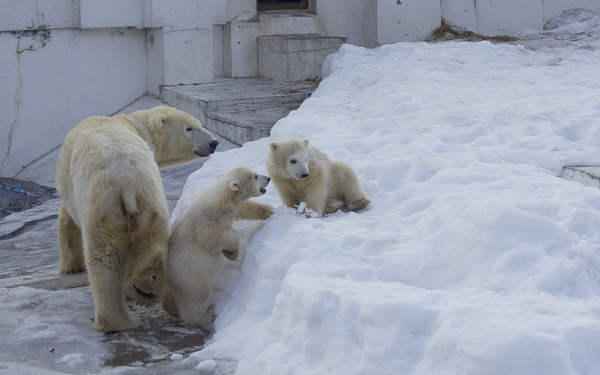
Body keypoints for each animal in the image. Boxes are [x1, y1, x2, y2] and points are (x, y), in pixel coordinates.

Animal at [56, 105, 218, 332]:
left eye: (198, 124)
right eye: (190, 127)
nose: (214, 142)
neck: (132, 125)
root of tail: (124, 177)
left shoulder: (71, 186)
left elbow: (67, 221)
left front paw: (70, 266)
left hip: (101, 204)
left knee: (103, 257)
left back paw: (121, 319)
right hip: (150, 196)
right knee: (154, 238)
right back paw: (146, 288)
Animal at [164, 167, 274, 326]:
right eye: (255, 176)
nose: (268, 178)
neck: (220, 200)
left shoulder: (232, 209)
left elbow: (249, 208)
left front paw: (272, 210)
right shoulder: (209, 220)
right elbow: (213, 237)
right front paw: (232, 253)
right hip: (188, 275)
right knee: (199, 294)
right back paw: (204, 316)